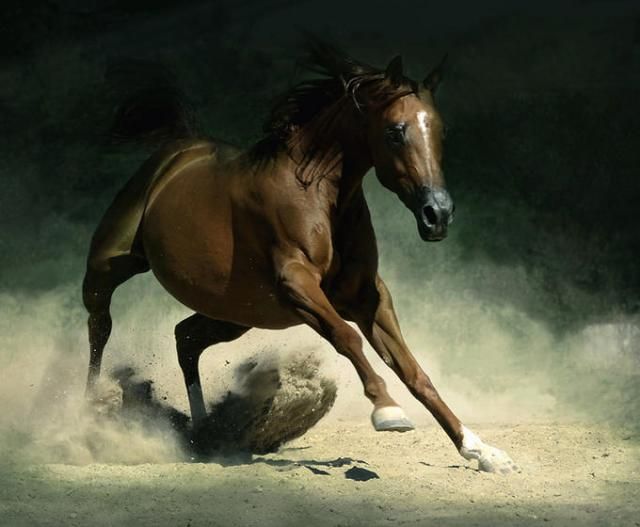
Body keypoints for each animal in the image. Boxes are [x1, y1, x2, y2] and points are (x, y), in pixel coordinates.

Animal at [83, 40, 518, 473]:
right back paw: (90, 414)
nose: (438, 214)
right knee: (100, 325)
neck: (320, 195)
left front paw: (480, 450)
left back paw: (202, 434)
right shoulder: (297, 285)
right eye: (395, 132)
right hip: (108, 268)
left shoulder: (368, 297)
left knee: (185, 338)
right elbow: (346, 338)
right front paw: (387, 411)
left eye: (441, 131)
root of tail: (178, 152)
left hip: (236, 312)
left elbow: (414, 371)